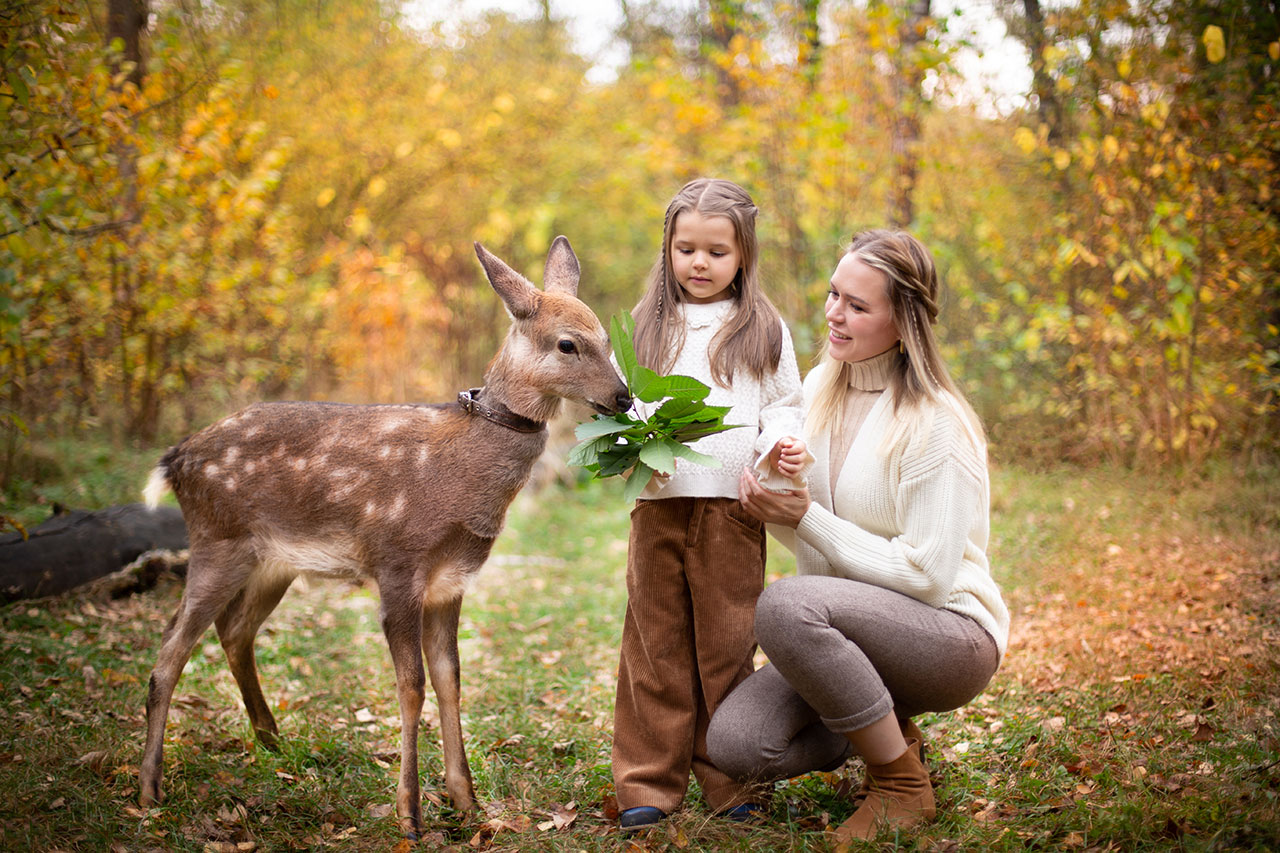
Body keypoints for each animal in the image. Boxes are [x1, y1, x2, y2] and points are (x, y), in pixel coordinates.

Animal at [138, 235, 629, 835]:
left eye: (606, 336)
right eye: (567, 344)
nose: (624, 398)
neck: (461, 476)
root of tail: (175, 460)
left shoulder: (450, 581)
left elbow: (449, 678)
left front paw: (467, 804)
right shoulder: (397, 561)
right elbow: (411, 685)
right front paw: (410, 813)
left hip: (274, 561)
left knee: (233, 630)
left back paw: (273, 742)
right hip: (217, 540)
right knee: (169, 654)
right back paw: (149, 789)